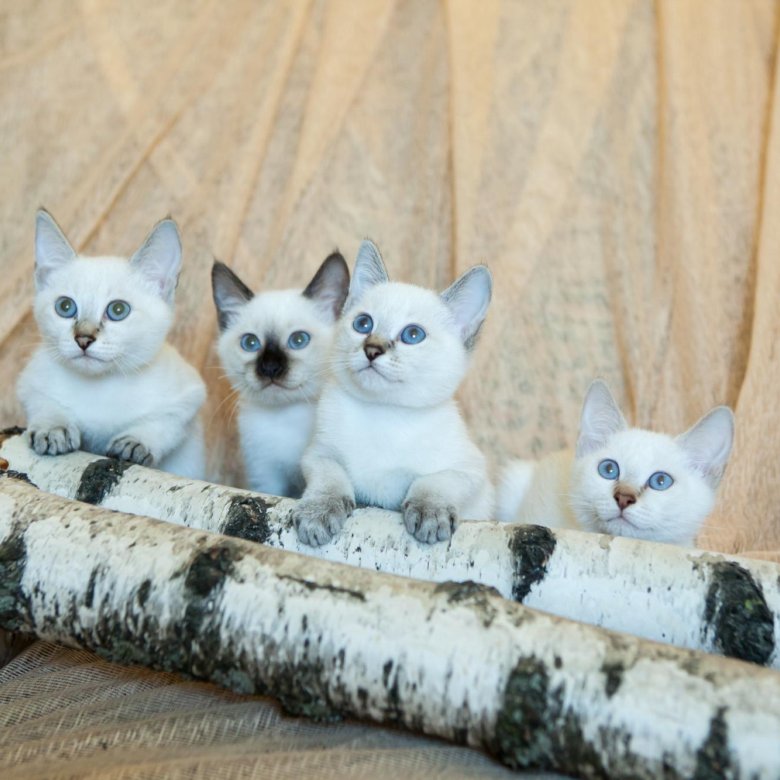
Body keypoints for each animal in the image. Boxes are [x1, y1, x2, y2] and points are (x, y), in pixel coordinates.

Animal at [18, 207, 207, 478]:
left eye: (118, 310)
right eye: (65, 307)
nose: (83, 338)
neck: (100, 387)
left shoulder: (190, 396)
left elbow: (164, 421)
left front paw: (134, 442)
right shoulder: (30, 382)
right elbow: (44, 402)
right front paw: (54, 428)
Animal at [292, 241, 494, 544]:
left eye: (413, 335)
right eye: (363, 324)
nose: (372, 349)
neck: (383, 413)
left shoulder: (470, 469)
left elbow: (432, 481)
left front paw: (429, 513)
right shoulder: (318, 454)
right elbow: (330, 477)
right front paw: (318, 512)